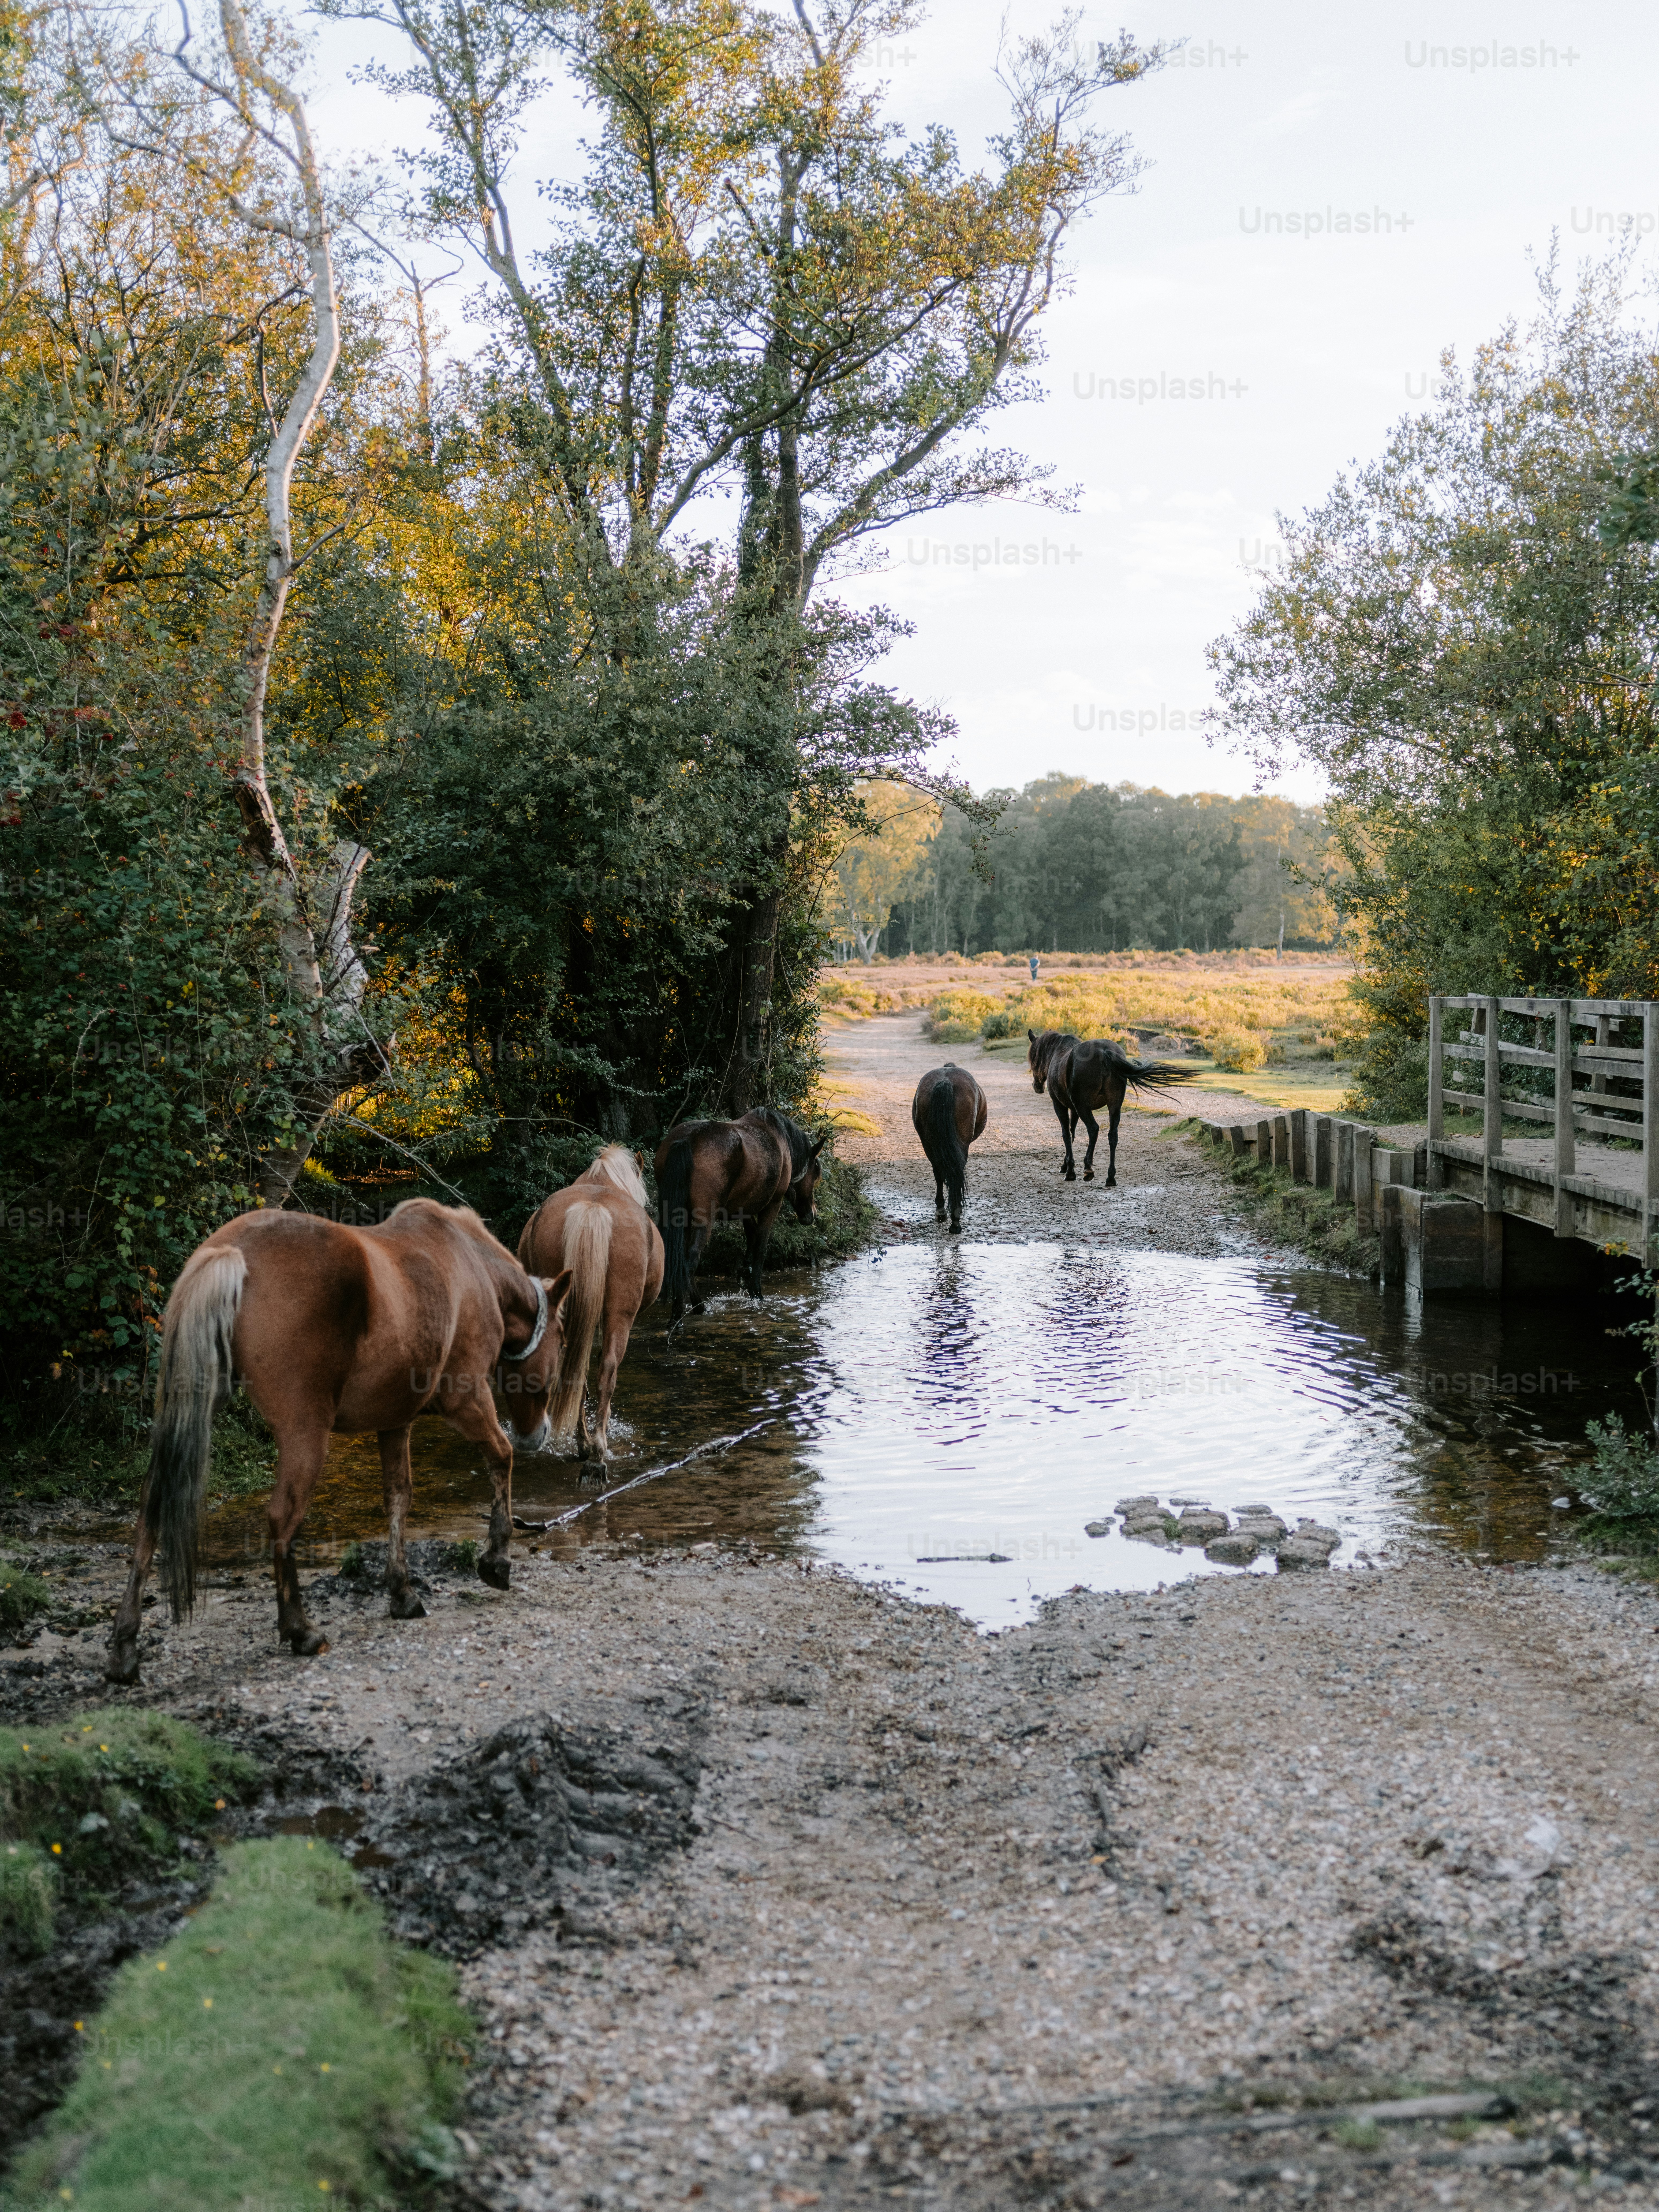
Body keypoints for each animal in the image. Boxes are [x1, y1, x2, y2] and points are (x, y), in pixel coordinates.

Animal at [106, 1200, 571, 1685]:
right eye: (563, 1339)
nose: (537, 1433)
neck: (473, 1265)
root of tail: (229, 1252)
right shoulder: (468, 1400)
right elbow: (500, 1456)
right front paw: (496, 1561)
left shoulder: (395, 1421)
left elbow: (398, 1498)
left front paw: (403, 1593)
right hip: (306, 1434)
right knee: (282, 1518)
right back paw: (300, 1630)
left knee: (153, 1506)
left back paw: (125, 1646)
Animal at [513, 1145, 664, 1464]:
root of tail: (592, 1209)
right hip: (620, 1314)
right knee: (607, 1369)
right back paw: (598, 1445)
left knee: (574, 1372)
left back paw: (583, 1442)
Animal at [654, 1108, 826, 1320]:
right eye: (816, 1176)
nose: (812, 1215)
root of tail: (687, 1139)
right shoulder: (773, 1205)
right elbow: (761, 1247)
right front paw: (756, 1292)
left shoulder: (743, 1209)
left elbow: (751, 1237)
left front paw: (746, 1272)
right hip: (704, 1219)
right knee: (691, 1258)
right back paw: (685, 1311)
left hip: (678, 1216)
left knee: (679, 1258)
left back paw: (693, 1307)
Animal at [910, 1063, 988, 1233]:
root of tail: (945, 1081)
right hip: (961, 1144)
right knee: (957, 1172)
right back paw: (955, 1220)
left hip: (929, 1143)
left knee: (939, 1172)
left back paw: (942, 1213)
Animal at [1027, 1027, 1199, 1185]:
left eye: (1033, 1061)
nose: (1037, 1087)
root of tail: (1104, 1052)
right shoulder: (1074, 1109)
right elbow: (1073, 1133)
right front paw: (1066, 1166)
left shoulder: (1061, 1106)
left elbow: (1067, 1135)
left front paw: (1070, 1171)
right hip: (1114, 1105)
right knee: (1113, 1136)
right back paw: (1111, 1177)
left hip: (1083, 1107)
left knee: (1094, 1130)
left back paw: (1088, 1169)